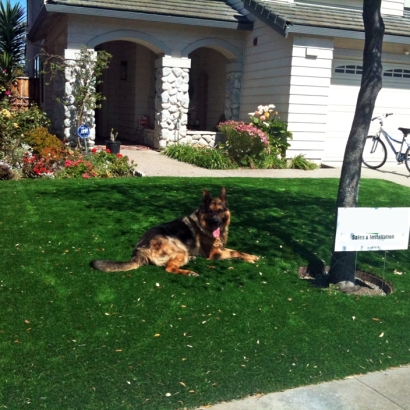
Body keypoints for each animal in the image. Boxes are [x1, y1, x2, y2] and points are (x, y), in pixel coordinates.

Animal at [91, 188, 262, 278]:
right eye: (209, 211)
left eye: (220, 211)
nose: (215, 222)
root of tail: (140, 249)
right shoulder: (215, 254)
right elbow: (235, 253)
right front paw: (250, 258)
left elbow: (238, 251)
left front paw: (251, 256)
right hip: (180, 248)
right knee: (169, 268)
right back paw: (188, 272)